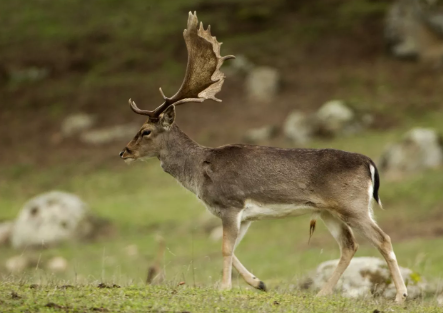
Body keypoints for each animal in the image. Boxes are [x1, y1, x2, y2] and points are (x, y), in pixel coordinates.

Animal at [120, 12, 410, 302]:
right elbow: (232, 250)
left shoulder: (231, 204)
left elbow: (225, 249)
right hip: (328, 210)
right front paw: (258, 282)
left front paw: (225, 287)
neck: (200, 174)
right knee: (349, 245)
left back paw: (400, 295)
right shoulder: (245, 216)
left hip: (352, 204)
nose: (124, 152)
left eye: (145, 131)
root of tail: (369, 164)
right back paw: (322, 293)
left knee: (382, 239)